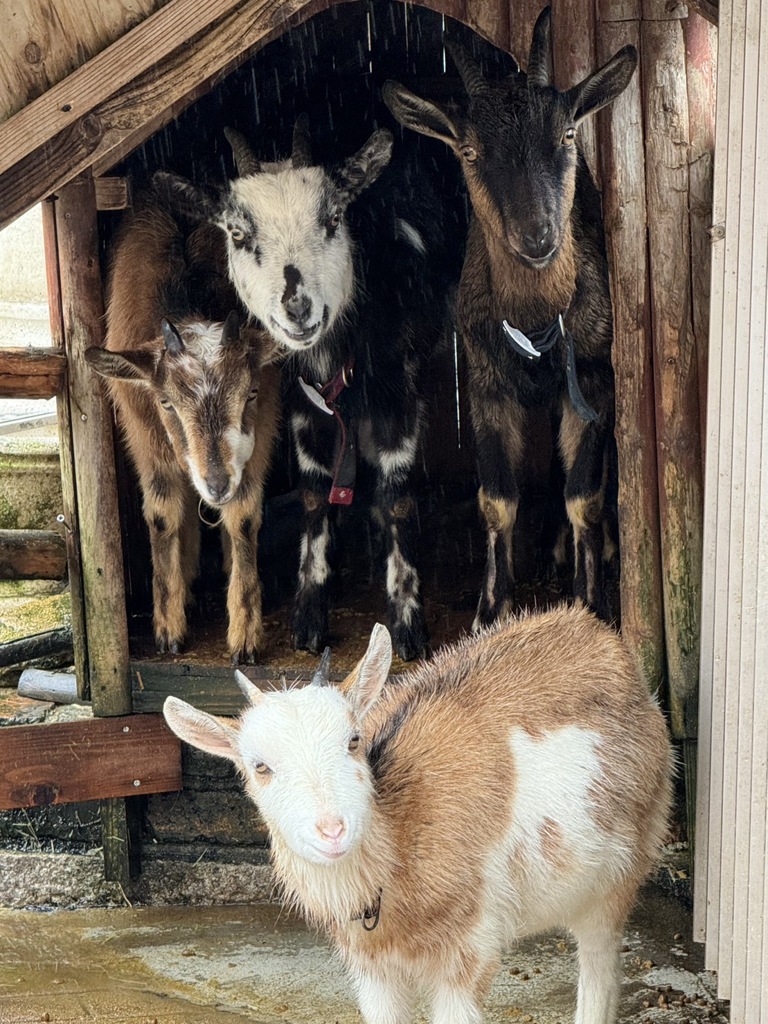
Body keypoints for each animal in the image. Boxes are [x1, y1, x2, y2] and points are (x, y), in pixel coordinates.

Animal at [88, 198, 280, 663]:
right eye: (166, 403)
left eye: (249, 392)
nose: (217, 482)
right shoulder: (146, 437)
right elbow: (162, 516)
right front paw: (168, 628)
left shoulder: (260, 431)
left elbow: (243, 518)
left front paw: (245, 634)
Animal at [153, 117, 454, 663]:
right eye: (237, 232)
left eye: (333, 217)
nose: (298, 307)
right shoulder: (303, 401)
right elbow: (314, 494)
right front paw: (309, 615)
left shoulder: (398, 391)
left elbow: (396, 495)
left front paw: (407, 622)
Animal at [163, 602, 671, 1024]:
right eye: (260, 766)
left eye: (354, 740)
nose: (332, 831)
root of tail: (599, 634)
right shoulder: (371, 969)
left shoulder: (468, 954)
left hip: (619, 872)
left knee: (599, 966)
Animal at [382, 8, 638, 622]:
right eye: (469, 152)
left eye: (566, 134)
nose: (538, 235)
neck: (536, 320)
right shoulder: (485, 383)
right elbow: (496, 500)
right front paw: (490, 608)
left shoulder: (595, 377)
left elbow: (584, 495)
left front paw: (591, 602)